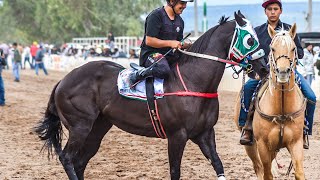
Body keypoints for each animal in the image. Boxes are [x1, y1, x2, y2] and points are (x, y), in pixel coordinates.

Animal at [35, 11, 268, 180]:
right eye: (250, 40)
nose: (265, 67)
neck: (192, 81)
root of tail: (63, 81)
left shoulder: (205, 133)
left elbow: (218, 164)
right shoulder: (177, 135)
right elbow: (175, 171)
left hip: (97, 128)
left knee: (79, 162)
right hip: (80, 126)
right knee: (67, 158)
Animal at [234, 23, 306, 180]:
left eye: (293, 48)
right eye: (272, 48)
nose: (283, 72)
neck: (281, 109)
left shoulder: (296, 143)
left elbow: (299, 172)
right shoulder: (263, 145)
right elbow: (267, 173)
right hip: (250, 145)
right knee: (259, 167)